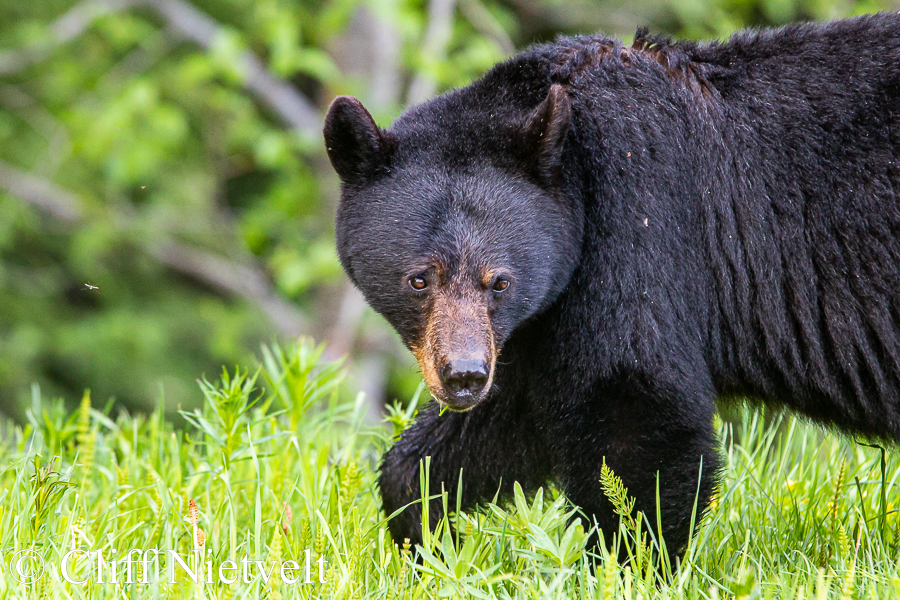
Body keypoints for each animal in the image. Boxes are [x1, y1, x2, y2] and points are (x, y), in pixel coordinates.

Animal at [323, 13, 900, 563]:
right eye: (420, 279)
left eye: (500, 281)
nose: (463, 376)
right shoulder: (542, 315)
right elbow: (505, 419)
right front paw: (426, 535)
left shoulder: (636, 208)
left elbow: (631, 400)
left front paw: (627, 561)